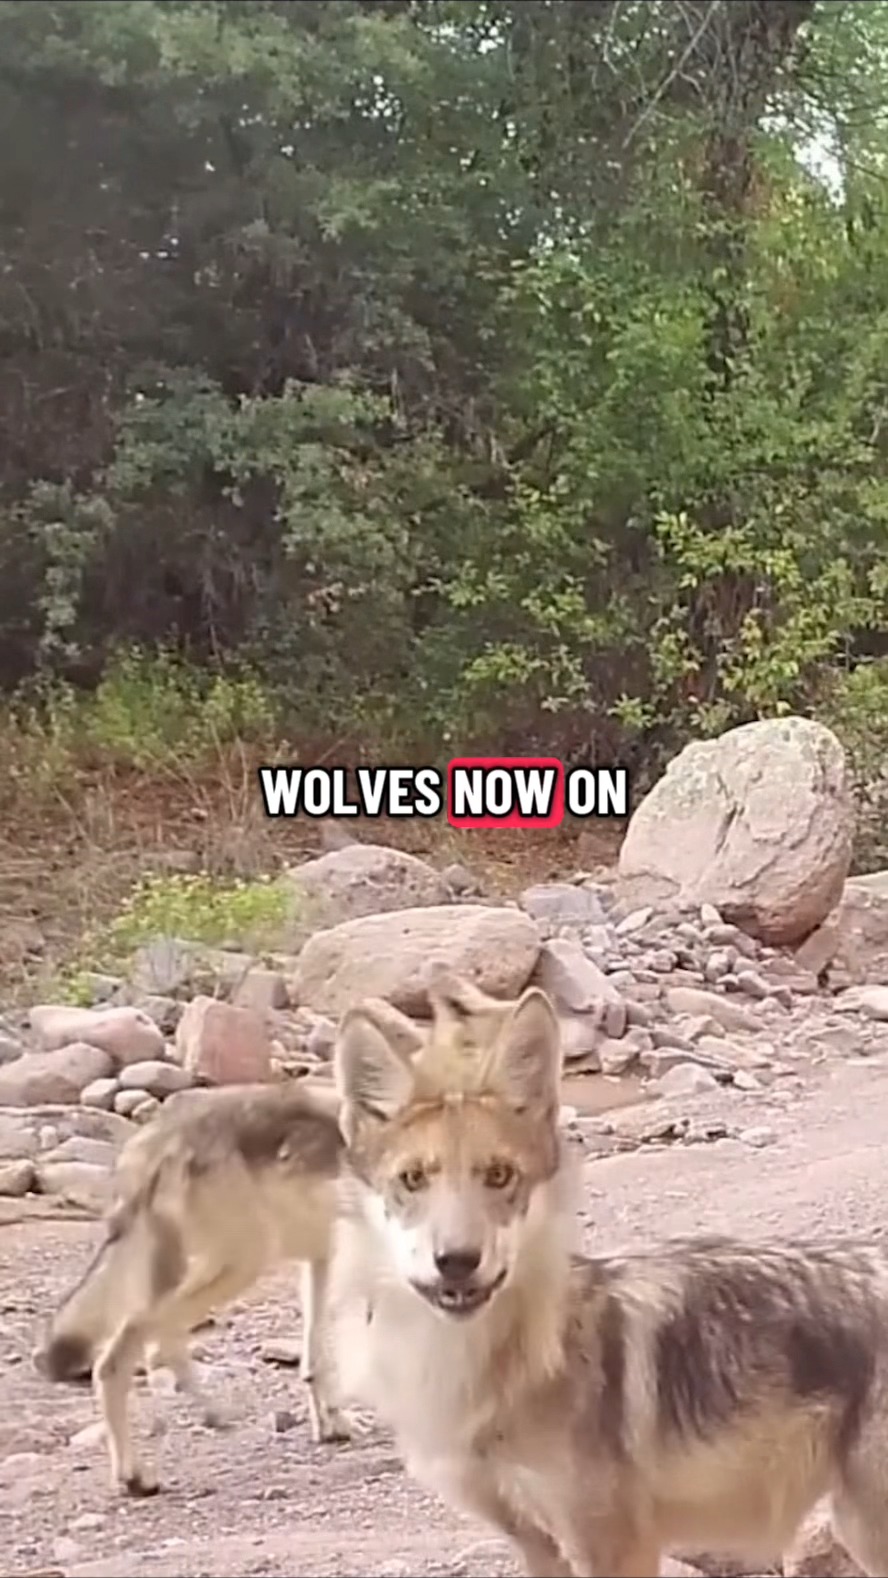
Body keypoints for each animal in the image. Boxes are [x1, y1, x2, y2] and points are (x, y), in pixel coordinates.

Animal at [33, 1078, 362, 1496]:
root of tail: (157, 1142)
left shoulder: (319, 1259)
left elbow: (314, 1361)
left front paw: (332, 1425)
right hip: (238, 1266)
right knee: (127, 1355)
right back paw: (136, 1475)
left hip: (197, 1272)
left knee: (158, 1347)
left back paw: (209, 1418)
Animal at [328, 967, 888, 1577]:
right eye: (413, 1180)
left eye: (499, 1176)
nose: (456, 1260)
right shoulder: (535, 1543)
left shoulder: (613, 1546)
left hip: (863, 1528)